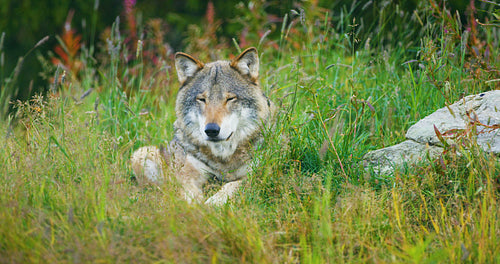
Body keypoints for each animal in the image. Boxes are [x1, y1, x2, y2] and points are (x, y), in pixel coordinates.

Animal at [131, 48, 276, 206]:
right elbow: (189, 193)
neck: (223, 158)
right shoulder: (186, 175)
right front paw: (198, 207)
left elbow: (232, 185)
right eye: (202, 99)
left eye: (230, 99)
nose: (211, 130)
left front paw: (214, 202)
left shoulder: (256, 173)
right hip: (142, 153)